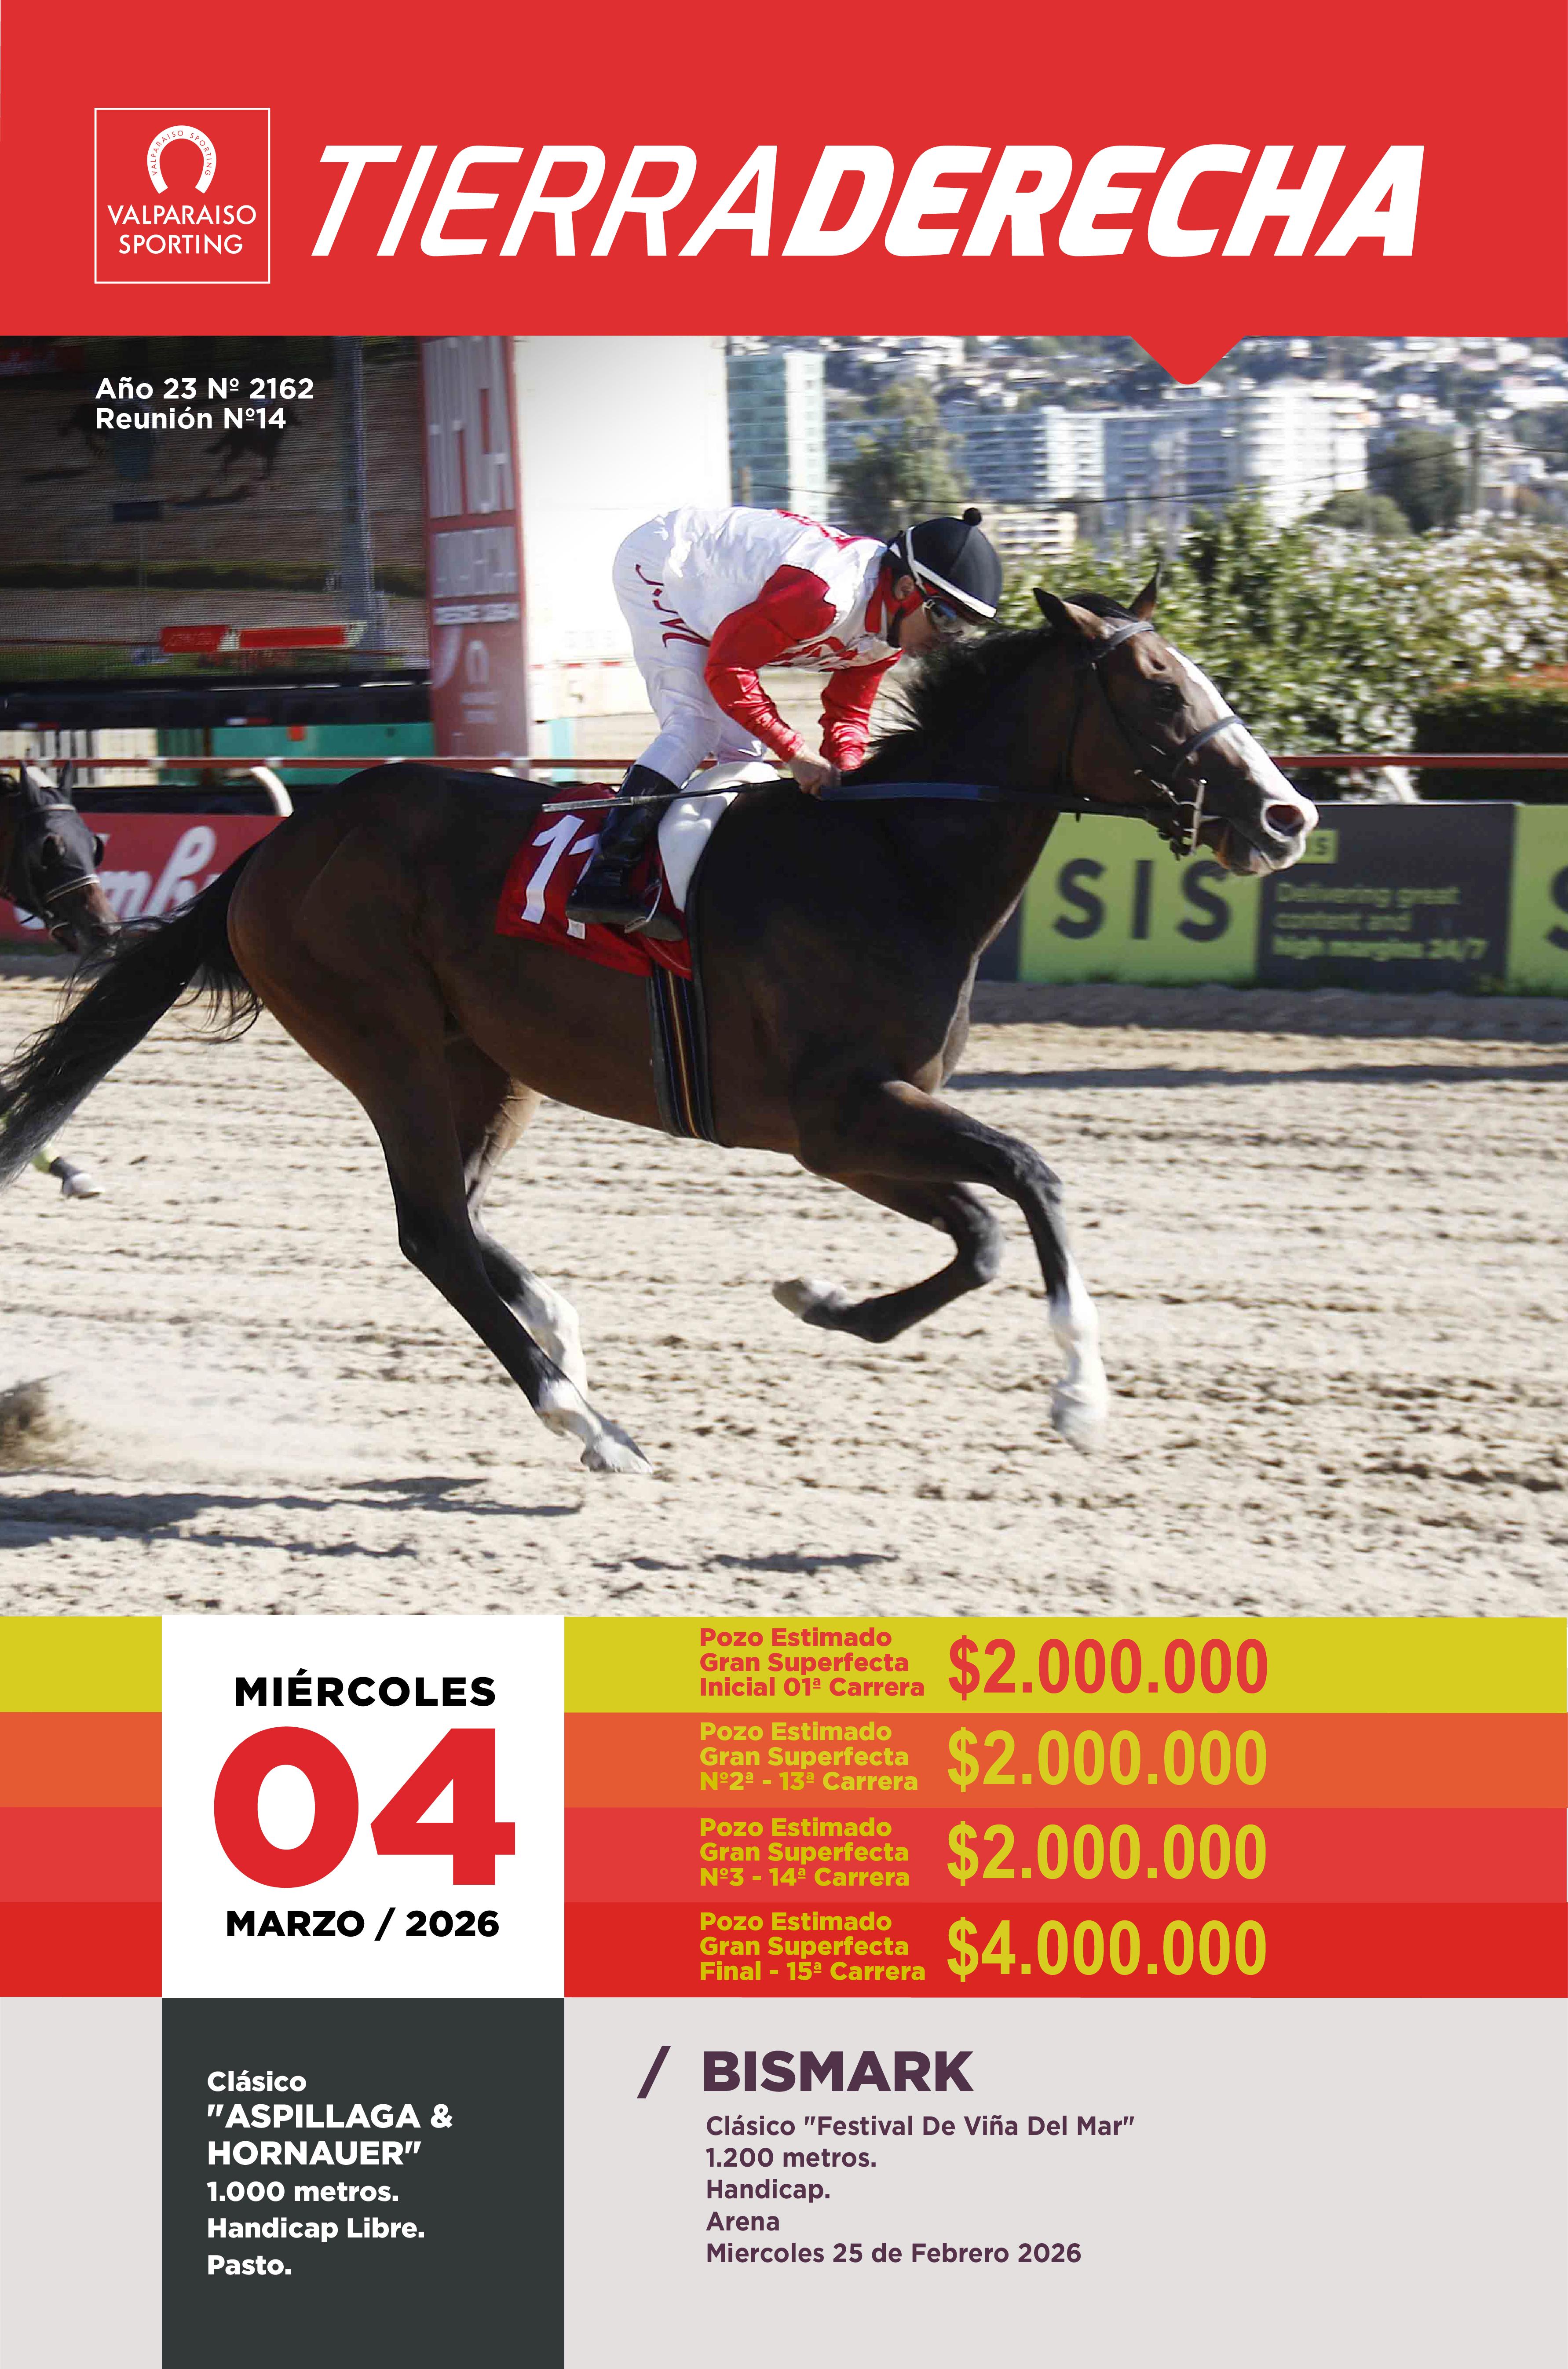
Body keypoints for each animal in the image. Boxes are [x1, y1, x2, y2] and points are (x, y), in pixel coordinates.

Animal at [0, 575, 1316, 1470]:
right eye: (1159, 687)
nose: (1286, 814)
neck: (891, 860)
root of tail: (277, 849)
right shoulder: (839, 1115)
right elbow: (1031, 1181)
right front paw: (1080, 1397)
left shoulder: (857, 1128)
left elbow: (981, 1233)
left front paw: (825, 1300)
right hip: (395, 1050)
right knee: (431, 1233)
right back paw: (585, 1422)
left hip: (488, 1069)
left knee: (459, 1218)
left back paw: (566, 1342)